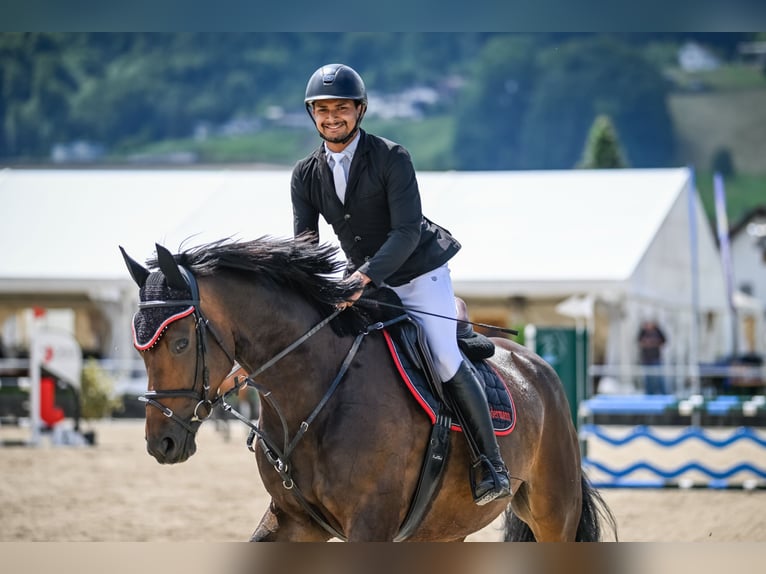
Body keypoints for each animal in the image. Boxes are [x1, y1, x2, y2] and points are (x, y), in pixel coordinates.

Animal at [118, 236, 616, 544]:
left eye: (181, 343)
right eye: (138, 347)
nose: (162, 443)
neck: (313, 394)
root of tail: (536, 365)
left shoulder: (370, 523)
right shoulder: (292, 520)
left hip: (554, 511)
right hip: (446, 525)